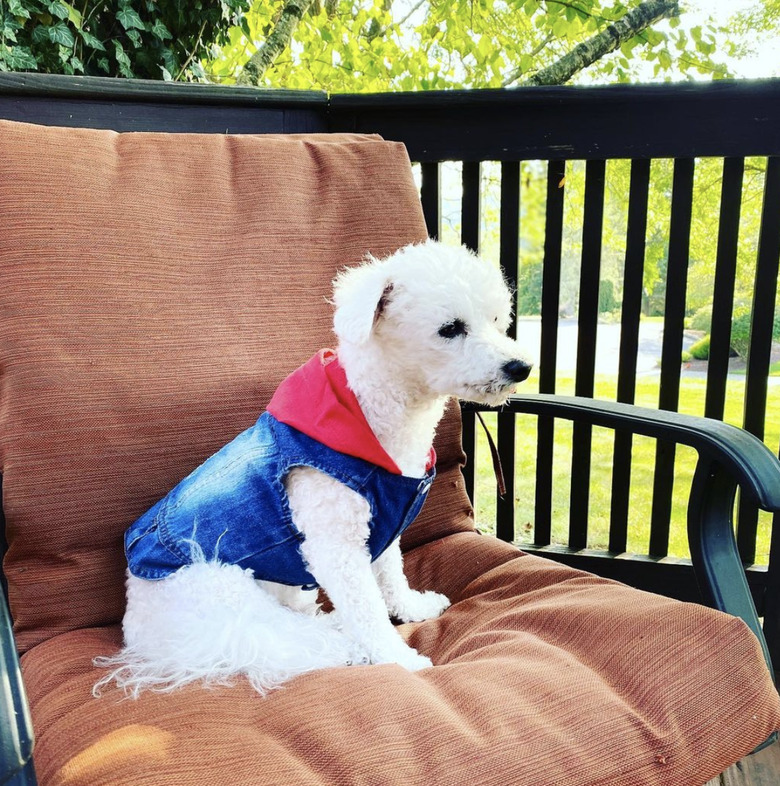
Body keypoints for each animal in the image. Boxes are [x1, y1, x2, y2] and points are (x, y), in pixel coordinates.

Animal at [91, 239, 532, 692]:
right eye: (450, 329)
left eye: (497, 320)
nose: (521, 367)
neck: (371, 414)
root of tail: (143, 635)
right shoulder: (336, 545)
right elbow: (367, 609)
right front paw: (397, 658)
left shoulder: (384, 524)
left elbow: (391, 575)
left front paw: (411, 608)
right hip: (226, 594)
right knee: (285, 639)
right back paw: (346, 645)